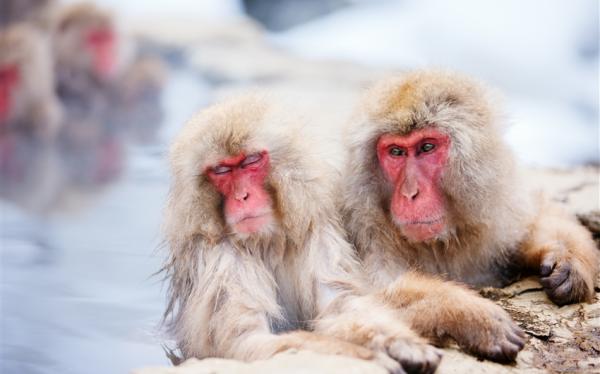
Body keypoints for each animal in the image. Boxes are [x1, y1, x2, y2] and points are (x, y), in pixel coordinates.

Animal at [162, 95, 442, 372]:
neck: (265, 240)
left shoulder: (316, 231)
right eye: (221, 171)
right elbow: (245, 342)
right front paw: (369, 357)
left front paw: (399, 342)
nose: (242, 197)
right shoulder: (220, 258)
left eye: (250, 161)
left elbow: (340, 304)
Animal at [342, 71, 600, 354]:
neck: (439, 243)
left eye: (427, 147)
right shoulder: (363, 229)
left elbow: (538, 214)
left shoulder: (498, 208)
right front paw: (469, 315)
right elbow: (350, 299)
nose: (410, 193)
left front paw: (568, 260)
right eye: (396, 152)